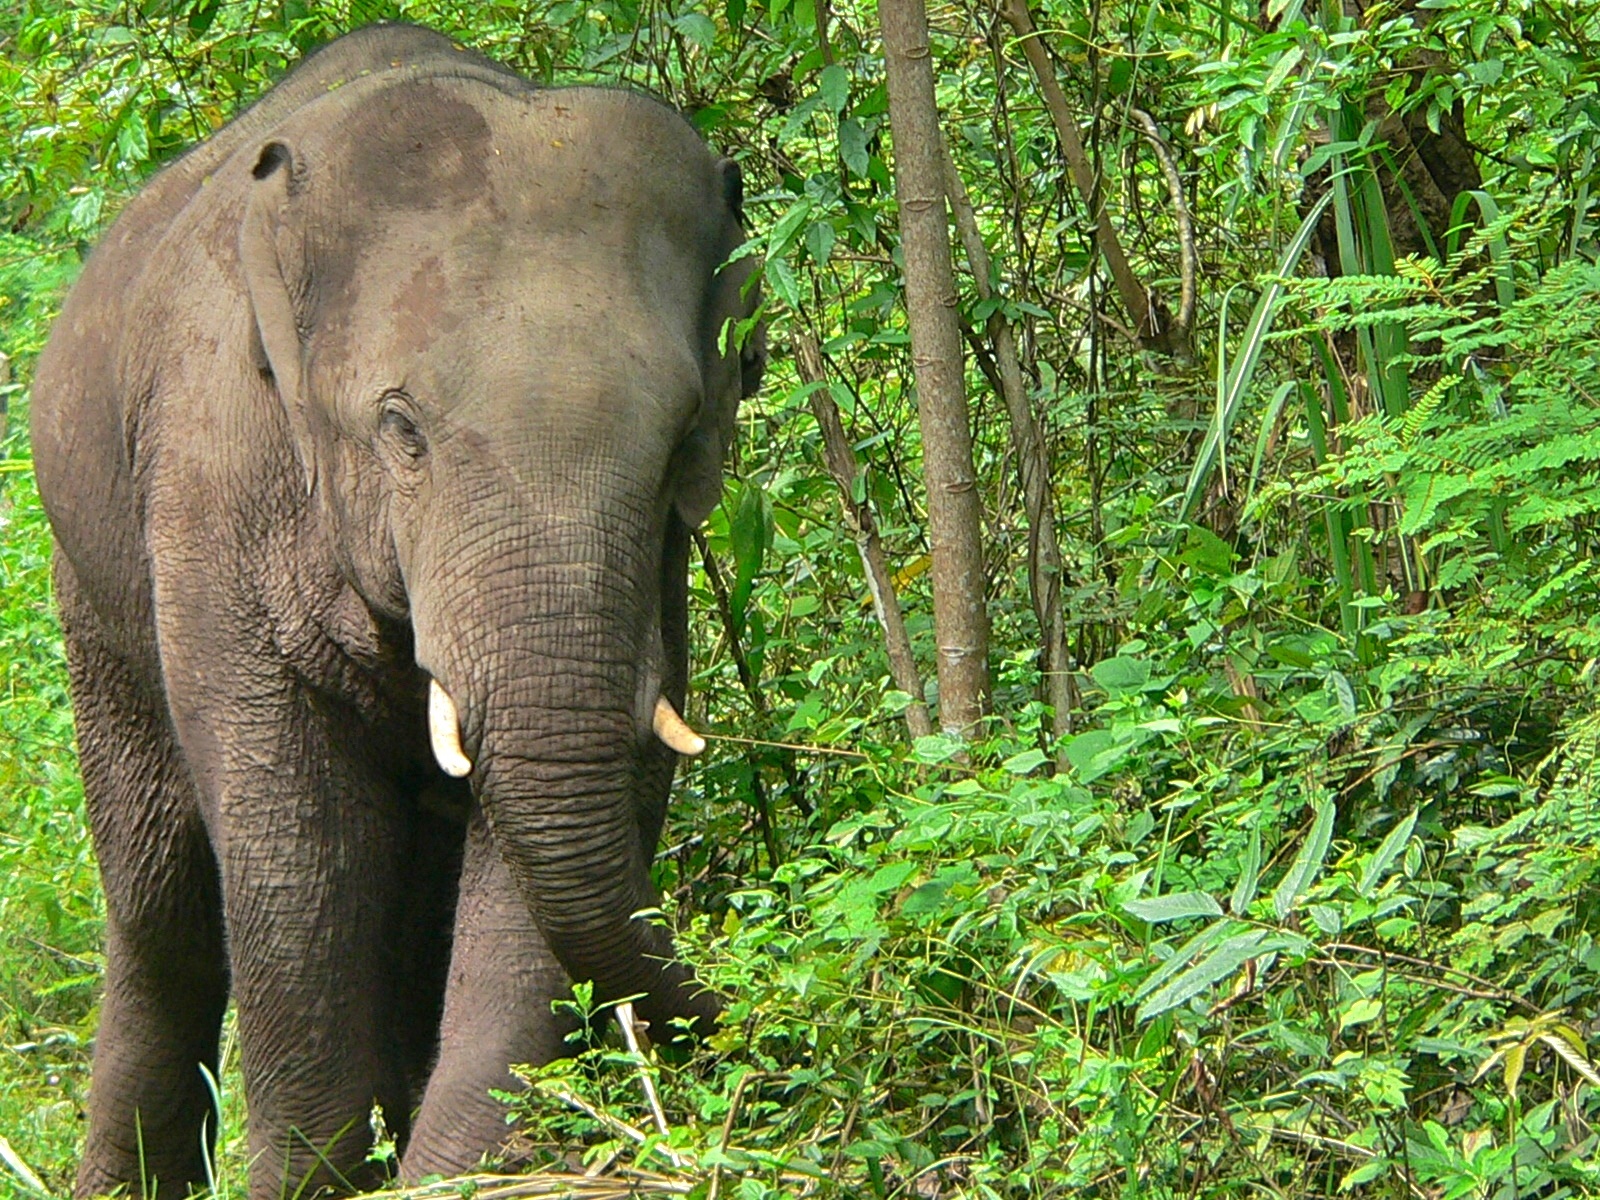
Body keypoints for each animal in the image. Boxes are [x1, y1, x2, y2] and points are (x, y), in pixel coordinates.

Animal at [31, 22, 763, 1198]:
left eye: (680, 439)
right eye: (402, 430)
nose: (732, 1021)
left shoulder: (656, 568)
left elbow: (591, 791)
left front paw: (455, 1170)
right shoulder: (210, 481)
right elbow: (295, 838)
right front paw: (305, 1181)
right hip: (91, 586)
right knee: (159, 900)